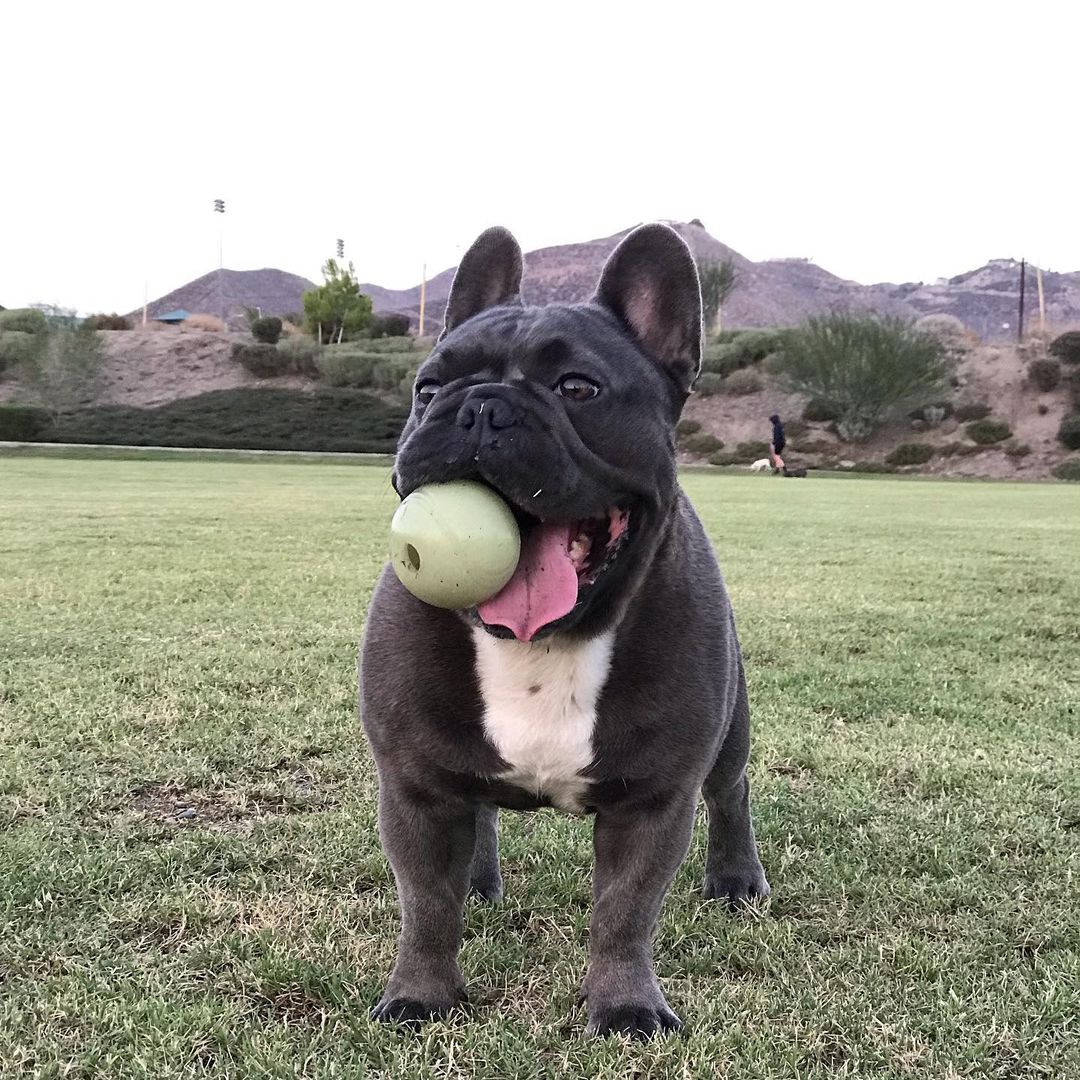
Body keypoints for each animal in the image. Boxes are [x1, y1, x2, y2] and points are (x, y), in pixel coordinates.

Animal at [360, 221, 768, 1036]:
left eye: (578, 388)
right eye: (427, 390)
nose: (481, 408)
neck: (544, 641)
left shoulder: (653, 801)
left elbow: (624, 911)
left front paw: (626, 1007)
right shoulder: (415, 790)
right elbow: (427, 904)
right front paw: (421, 996)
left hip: (731, 725)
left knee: (731, 789)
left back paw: (738, 878)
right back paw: (479, 879)